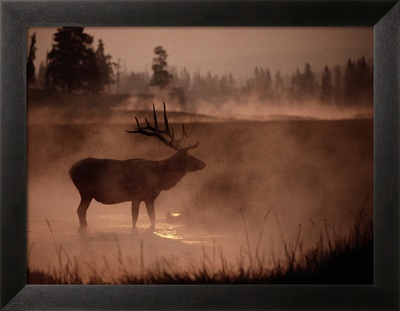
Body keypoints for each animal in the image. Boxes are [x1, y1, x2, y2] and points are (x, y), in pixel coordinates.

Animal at [69, 103, 206, 230]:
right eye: (188, 157)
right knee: (80, 210)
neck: (159, 178)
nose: (203, 164)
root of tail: (70, 170)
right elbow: (136, 218)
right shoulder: (138, 195)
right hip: (86, 191)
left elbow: (152, 218)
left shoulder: (149, 197)